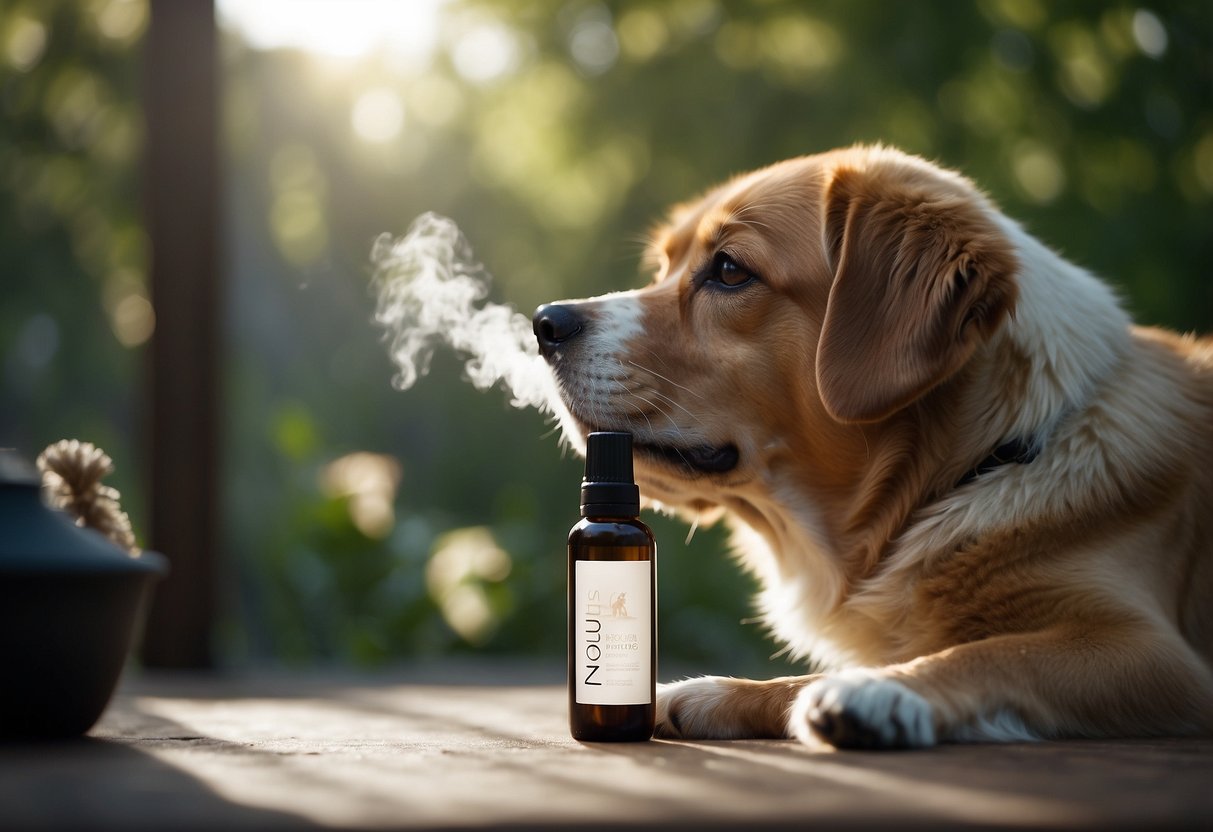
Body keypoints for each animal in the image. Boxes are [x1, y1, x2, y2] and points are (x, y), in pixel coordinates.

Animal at [533, 143, 1213, 751]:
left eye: (729, 270)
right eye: (662, 269)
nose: (544, 323)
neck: (983, 462)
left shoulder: (1155, 655)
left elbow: (993, 654)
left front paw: (884, 692)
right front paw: (707, 693)